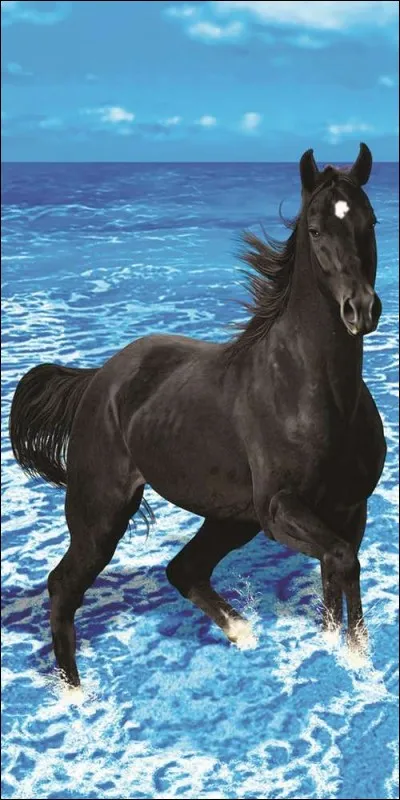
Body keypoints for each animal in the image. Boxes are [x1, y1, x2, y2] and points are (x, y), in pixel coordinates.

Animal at [9, 143, 387, 688]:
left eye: (370, 221)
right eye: (315, 229)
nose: (361, 309)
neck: (316, 392)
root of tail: (100, 377)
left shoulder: (349, 509)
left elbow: (335, 577)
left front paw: (338, 649)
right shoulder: (280, 509)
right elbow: (343, 561)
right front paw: (357, 660)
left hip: (230, 516)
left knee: (183, 569)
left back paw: (243, 633)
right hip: (102, 511)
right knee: (64, 585)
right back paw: (75, 693)